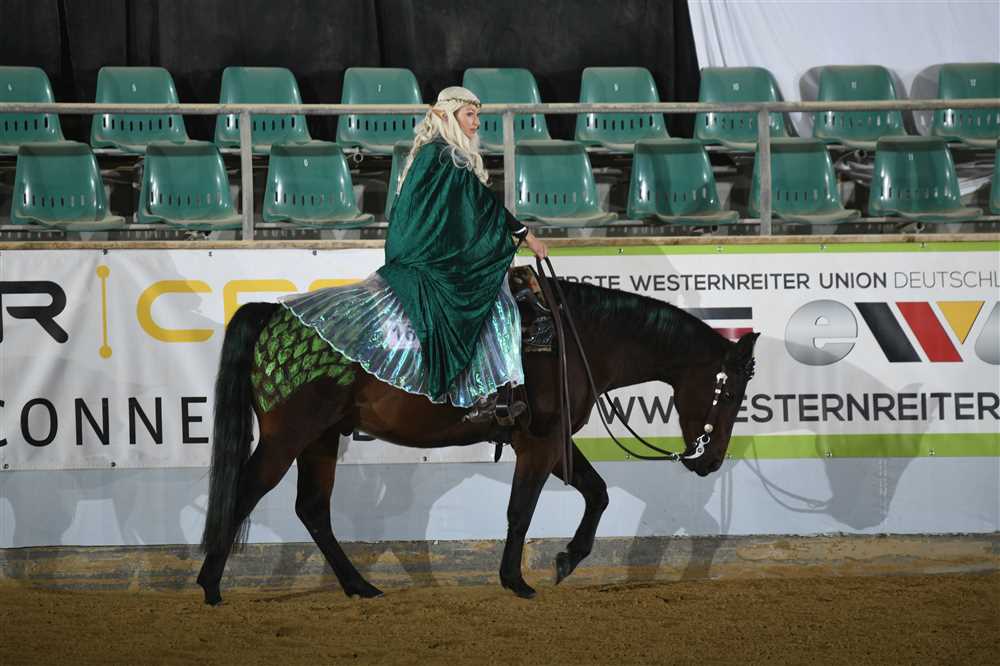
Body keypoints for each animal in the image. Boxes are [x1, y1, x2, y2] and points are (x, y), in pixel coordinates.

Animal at [196, 278, 759, 603]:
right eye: (730, 393)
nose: (710, 462)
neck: (576, 339)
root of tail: (273, 314)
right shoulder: (538, 445)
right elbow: (521, 510)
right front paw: (516, 580)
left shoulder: (550, 442)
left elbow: (596, 493)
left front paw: (566, 560)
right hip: (287, 436)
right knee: (244, 492)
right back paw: (210, 585)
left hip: (320, 438)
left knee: (313, 508)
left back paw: (361, 586)